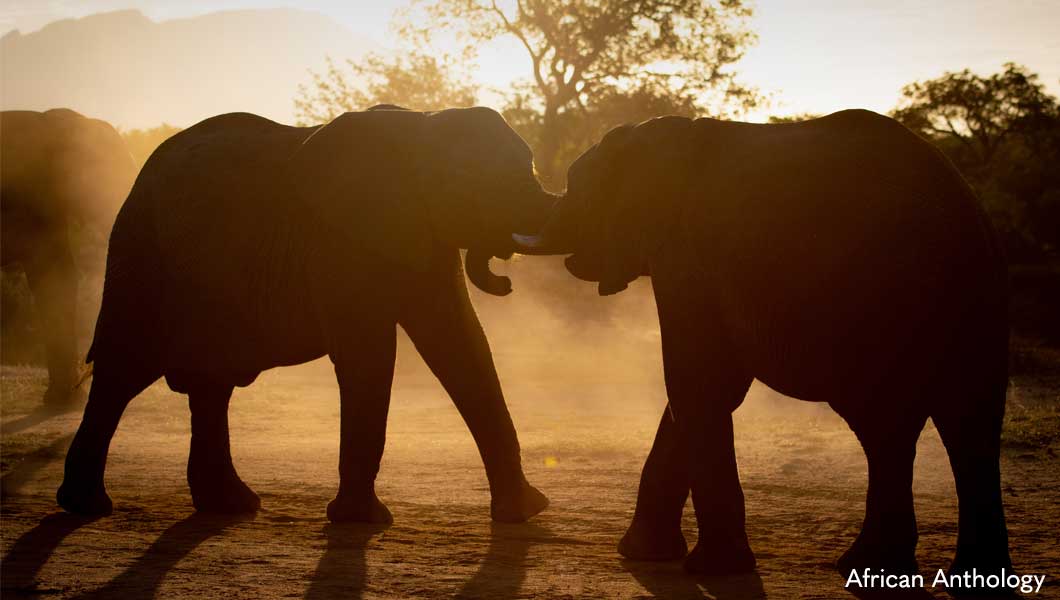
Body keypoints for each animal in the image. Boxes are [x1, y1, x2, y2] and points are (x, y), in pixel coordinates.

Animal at [55, 107, 555, 525]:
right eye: (471, 181)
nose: (508, 281)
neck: (420, 127)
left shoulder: (424, 235)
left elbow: (460, 343)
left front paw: (525, 511)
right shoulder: (337, 241)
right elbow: (369, 355)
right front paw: (362, 521)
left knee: (210, 385)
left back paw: (231, 507)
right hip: (140, 254)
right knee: (124, 370)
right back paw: (87, 506)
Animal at [517, 109, 1013, 593]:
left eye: (577, 184)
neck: (662, 132)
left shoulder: (686, 255)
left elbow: (696, 382)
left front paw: (711, 569)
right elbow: (710, 387)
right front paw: (644, 555)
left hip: (881, 305)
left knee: (889, 428)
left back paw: (874, 569)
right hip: (977, 298)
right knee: (967, 424)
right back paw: (954, 578)